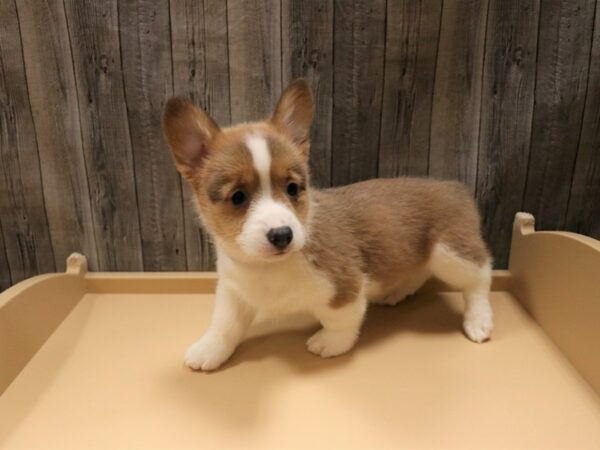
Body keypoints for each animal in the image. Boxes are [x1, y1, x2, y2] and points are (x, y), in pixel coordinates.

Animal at [164, 80, 492, 370]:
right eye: (238, 197)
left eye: (293, 188)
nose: (282, 235)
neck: (268, 268)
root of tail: (455, 187)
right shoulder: (234, 292)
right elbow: (224, 325)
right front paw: (209, 350)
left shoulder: (345, 288)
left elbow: (340, 320)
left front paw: (330, 344)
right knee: (419, 270)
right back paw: (396, 292)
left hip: (450, 254)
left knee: (479, 276)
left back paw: (479, 320)